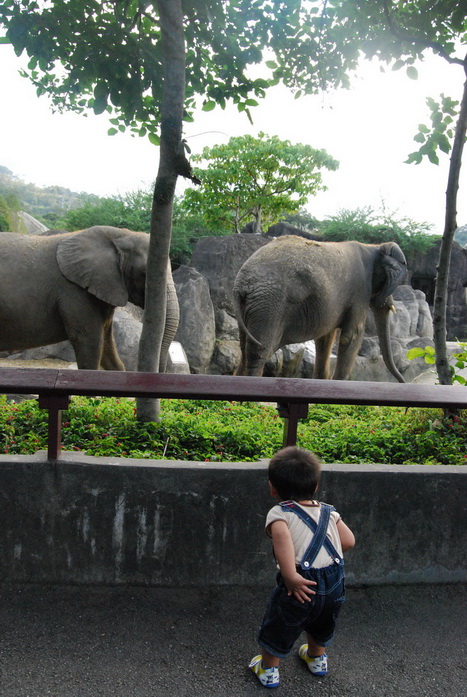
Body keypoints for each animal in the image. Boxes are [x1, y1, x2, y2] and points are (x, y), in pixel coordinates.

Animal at [232, 237, 408, 384]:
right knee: (260, 350)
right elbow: (352, 335)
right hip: (270, 305)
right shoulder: (360, 291)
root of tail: (241, 284)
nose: (403, 382)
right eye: (387, 281)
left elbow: (325, 337)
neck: (374, 246)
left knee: (245, 349)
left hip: (252, 305)